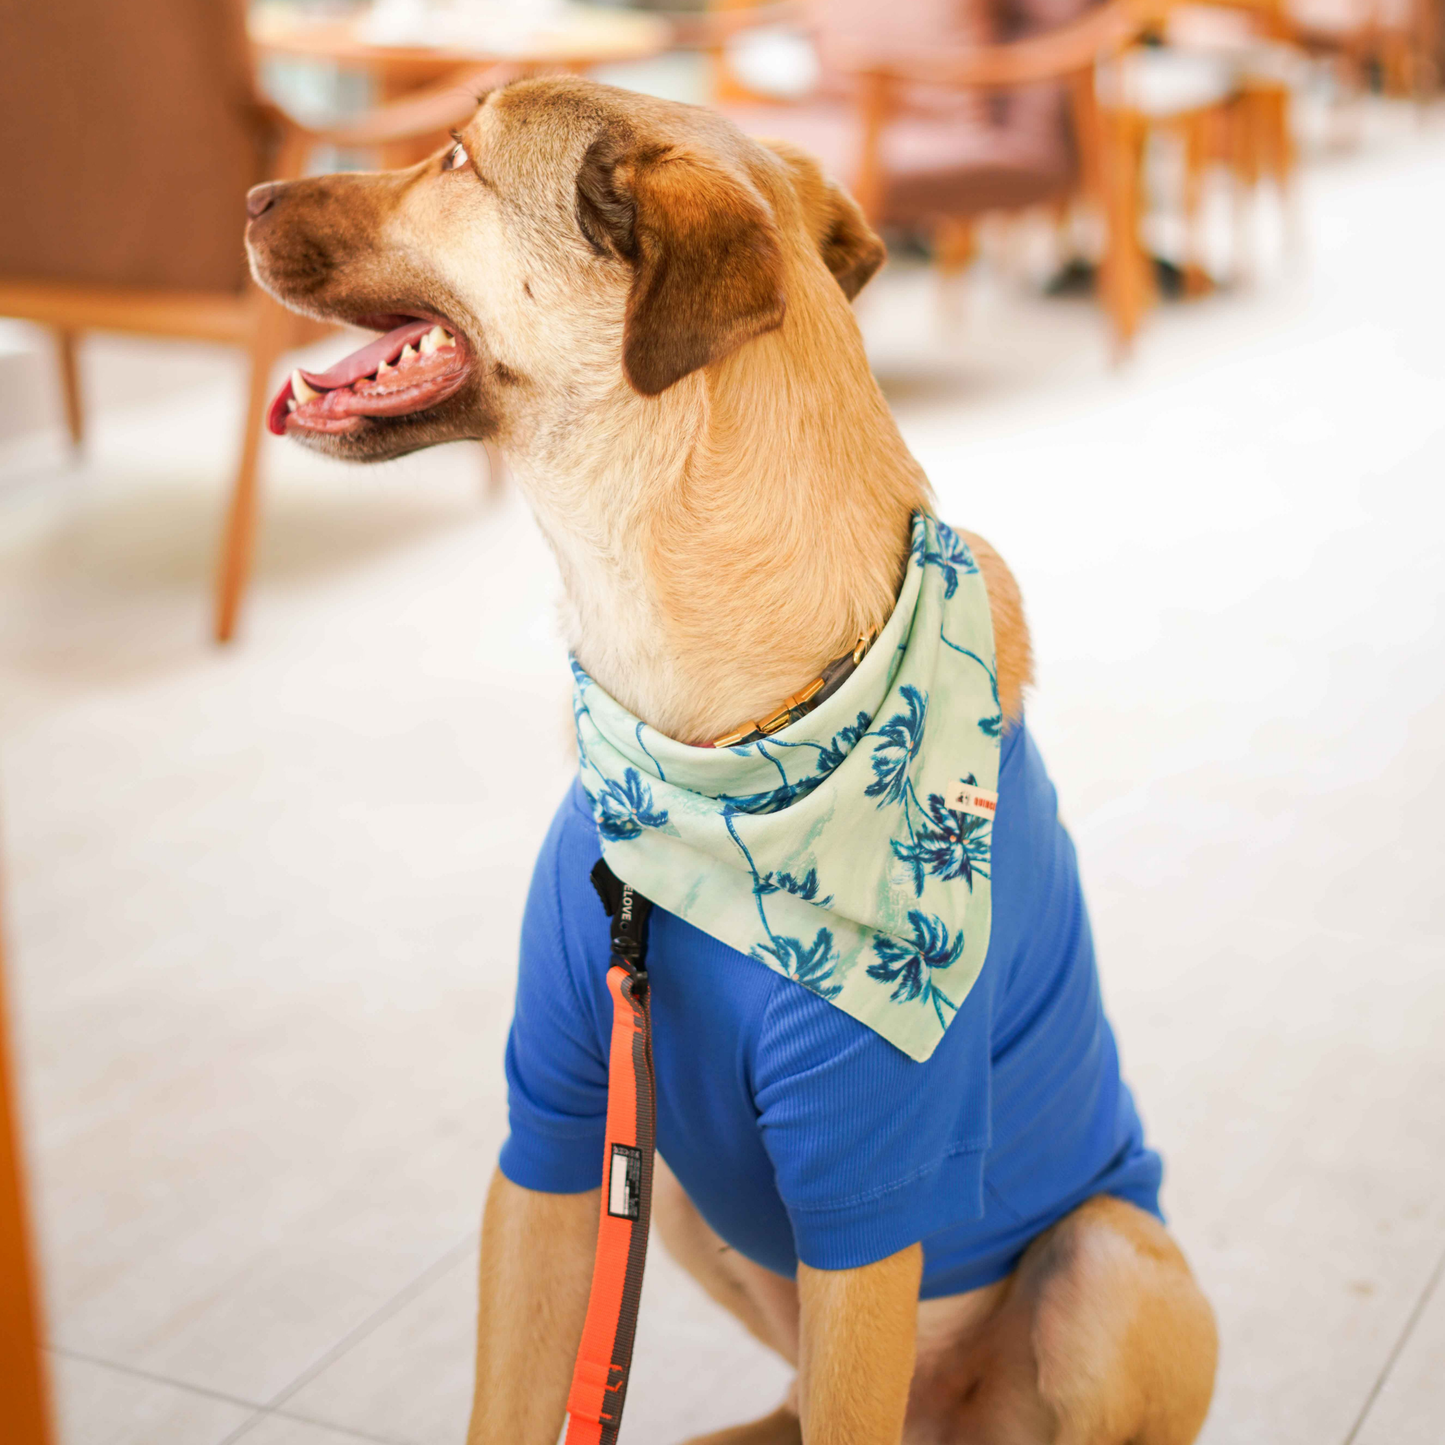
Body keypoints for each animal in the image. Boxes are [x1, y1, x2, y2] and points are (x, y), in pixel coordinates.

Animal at [248, 79, 1219, 1445]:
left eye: (452, 160)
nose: (248, 196)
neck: (710, 757)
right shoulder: (557, 1123)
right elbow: (512, 1393)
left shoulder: (865, 1188)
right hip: (688, 1199)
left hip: (1109, 1257)